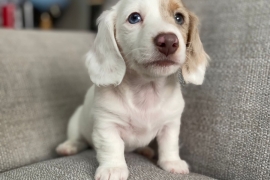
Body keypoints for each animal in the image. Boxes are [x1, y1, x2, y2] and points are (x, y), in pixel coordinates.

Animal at [56, 0, 209, 179]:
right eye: (134, 17)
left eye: (179, 18)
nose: (169, 42)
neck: (147, 89)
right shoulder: (107, 124)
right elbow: (111, 146)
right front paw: (113, 168)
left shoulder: (171, 123)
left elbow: (169, 143)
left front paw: (172, 162)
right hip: (75, 122)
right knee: (78, 139)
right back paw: (69, 146)